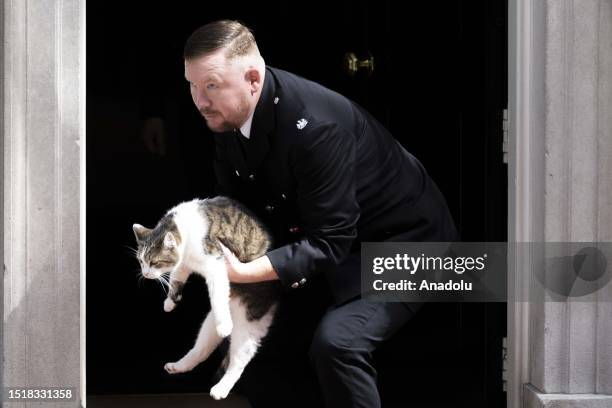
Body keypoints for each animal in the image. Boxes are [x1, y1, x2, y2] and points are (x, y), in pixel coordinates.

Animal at [133, 196, 280, 400]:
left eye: (154, 262)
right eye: (141, 261)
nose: (145, 274)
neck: (183, 229)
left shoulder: (216, 265)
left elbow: (217, 294)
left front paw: (224, 325)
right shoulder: (184, 262)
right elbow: (177, 276)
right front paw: (170, 302)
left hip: (249, 326)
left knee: (238, 363)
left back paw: (221, 388)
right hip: (209, 325)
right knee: (201, 350)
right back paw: (179, 366)